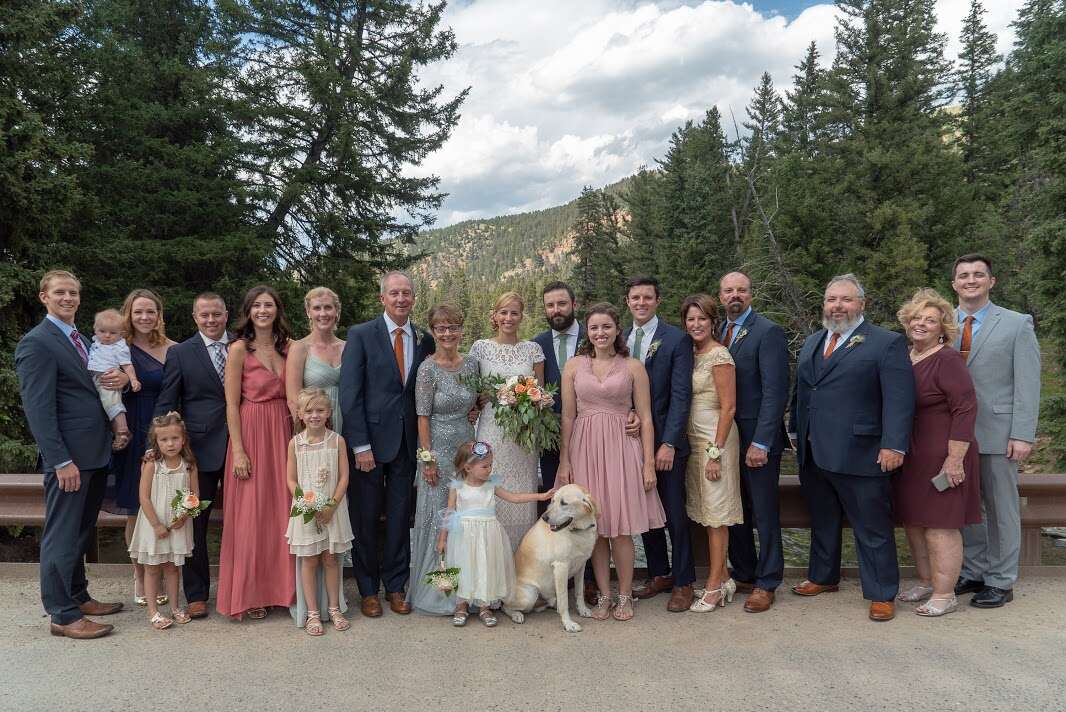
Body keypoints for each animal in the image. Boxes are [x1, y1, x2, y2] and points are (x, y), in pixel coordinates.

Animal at [501, 483, 596, 635]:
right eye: (553, 501)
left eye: (564, 503)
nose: (544, 517)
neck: (577, 532)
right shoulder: (561, 567)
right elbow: (564, 600)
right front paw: (568, 623)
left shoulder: (581, 565)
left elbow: (579, 591)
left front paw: (582, 610)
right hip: (530, 595)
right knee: (505, 607)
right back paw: (516, 615)